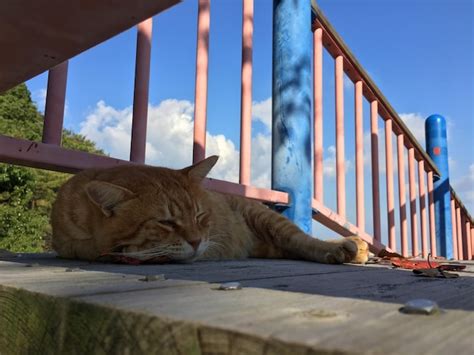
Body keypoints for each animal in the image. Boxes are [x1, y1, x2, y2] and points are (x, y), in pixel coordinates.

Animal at [52, 157, 370, 266]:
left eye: (200, 216)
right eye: (166, 222)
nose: (196, 242)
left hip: (265, 219)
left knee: (303, 241)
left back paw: (346, 248)